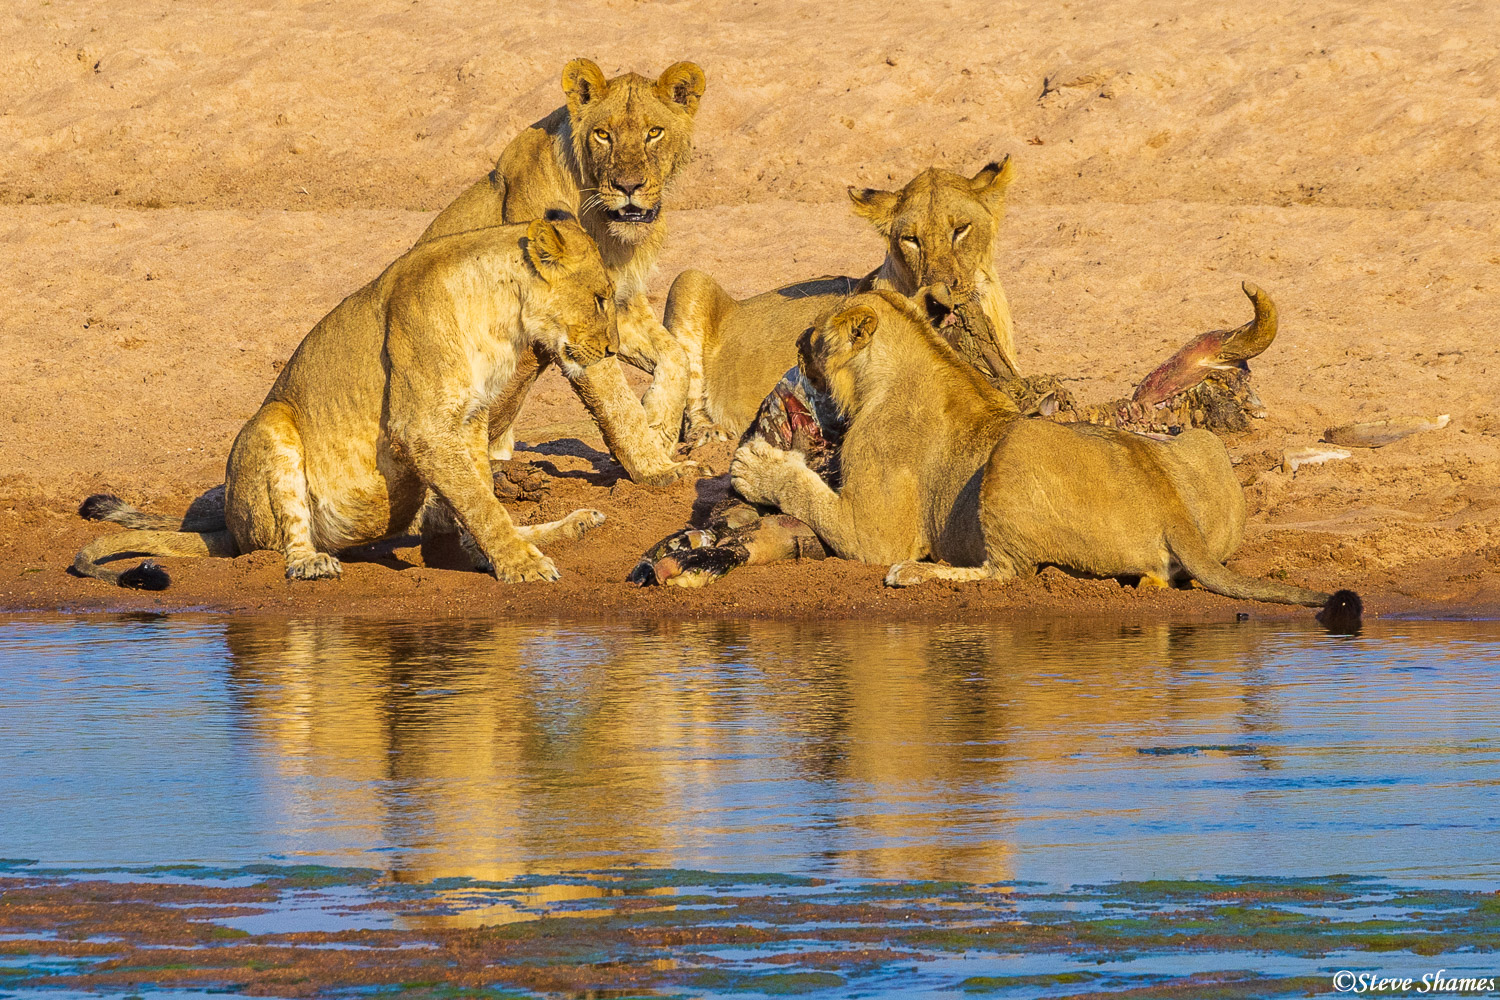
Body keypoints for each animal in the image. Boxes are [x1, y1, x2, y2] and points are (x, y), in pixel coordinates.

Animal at [71, 211, 615, 587]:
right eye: (600, 298)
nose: (610, 350)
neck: (504, 318)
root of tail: (228, 526)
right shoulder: (422, 428)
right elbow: (480, 505)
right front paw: (522, 567)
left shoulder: (470, 419)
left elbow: (479, 498)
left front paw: (503, 555)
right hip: (272, 421)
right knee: (285, 539)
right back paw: (312, 562)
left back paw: (577, 524)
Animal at [417, 58, 708, 488]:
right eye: (603, 135)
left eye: (654, 132)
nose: (628, 186)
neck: (605, 227)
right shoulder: (568, 322)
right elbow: (617, 403)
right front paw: (658, 470)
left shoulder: (617, 303)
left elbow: (676, 356)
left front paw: (659, 427)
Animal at [723, 284, 1362, 620]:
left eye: (809, 341)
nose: (794, 354)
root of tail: (1169, 503)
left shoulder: (875, 533)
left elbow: (812, 494)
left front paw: (754, 465)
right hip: (1196, 441)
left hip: (1015, 448)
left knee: (1006, 572)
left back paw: (917, 574)